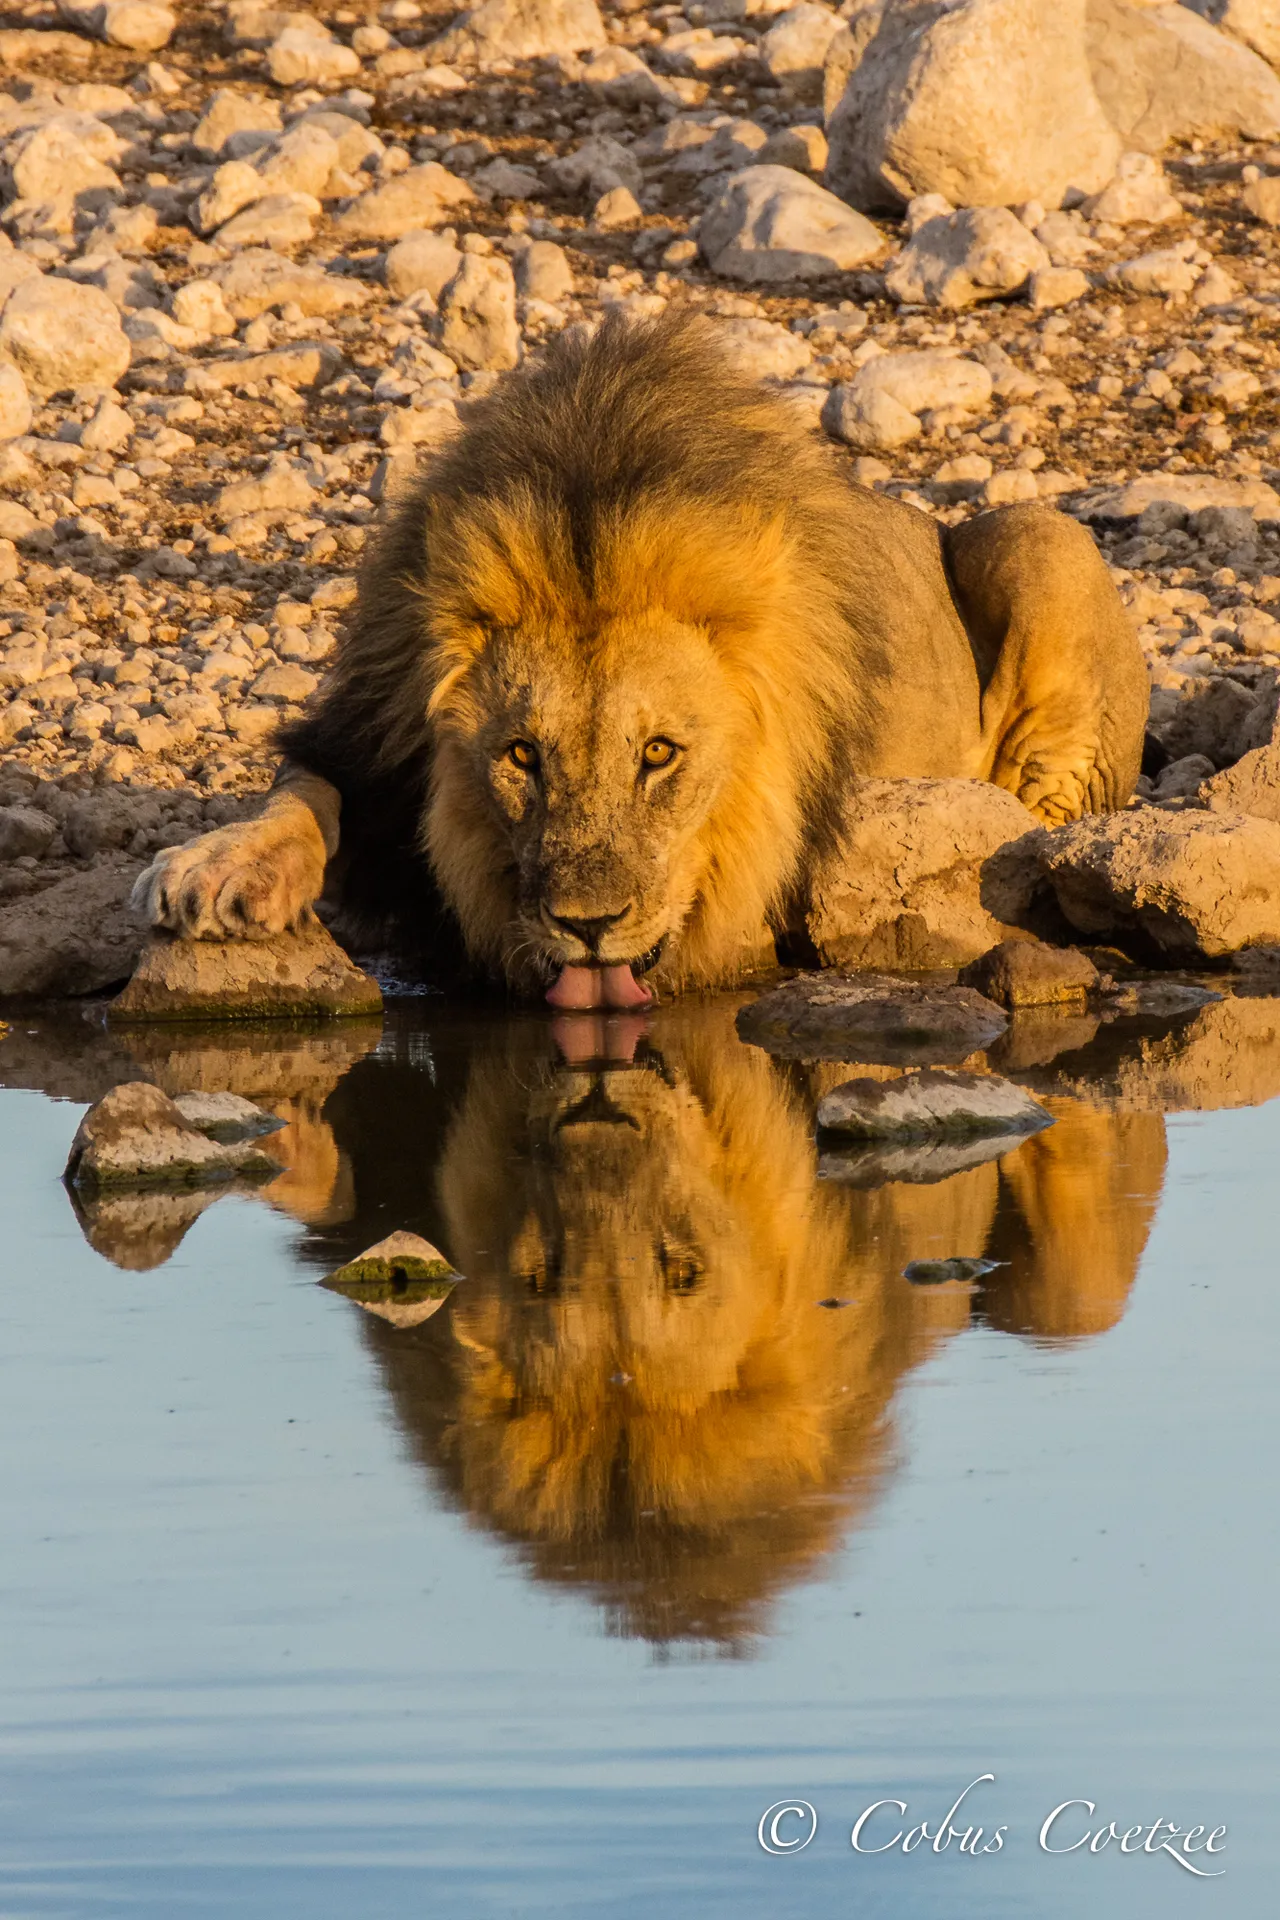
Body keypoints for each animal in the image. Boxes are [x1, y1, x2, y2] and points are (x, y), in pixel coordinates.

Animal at [134, 312, 1147, 1004]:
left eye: (659, 754)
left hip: (1042, 537)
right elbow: (301, 795)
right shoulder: (371, 739)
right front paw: (217, 871)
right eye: (520, 756)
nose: (587, 928)